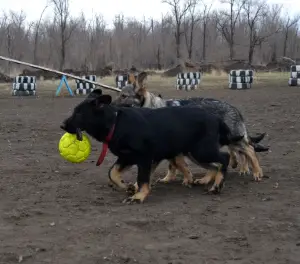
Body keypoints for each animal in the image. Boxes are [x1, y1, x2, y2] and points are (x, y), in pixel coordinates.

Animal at [60, 89, 244, 203]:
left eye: (78, 113)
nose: (62, 125)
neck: (115, 122)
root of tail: (216, 118)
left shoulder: (144, 158)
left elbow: (142, 180)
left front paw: (138, 196)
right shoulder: (126, 157)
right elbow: (112, 173)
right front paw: (126, 186)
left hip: (201, 150)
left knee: (225, 158)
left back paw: (217, 187)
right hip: (194, 152)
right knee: (215, 165)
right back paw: (206, 181)